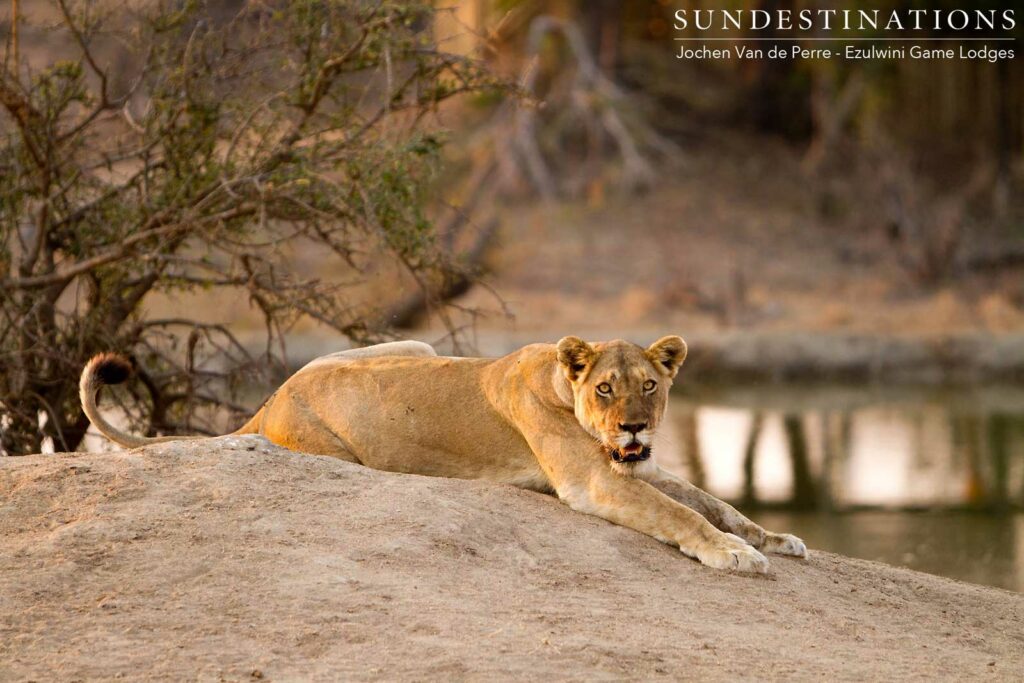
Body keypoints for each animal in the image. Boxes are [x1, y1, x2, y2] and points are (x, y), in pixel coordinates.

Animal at [80, 336, 806, 572]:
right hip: (342, 449)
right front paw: (734, 555)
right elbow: (681, 514)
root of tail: (269, 398)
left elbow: (712, 502)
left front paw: (774, 538)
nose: (633, 426)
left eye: (650, 385)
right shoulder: (591, 481)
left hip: (417, 344)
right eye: (605, 387)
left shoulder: (637, 464)